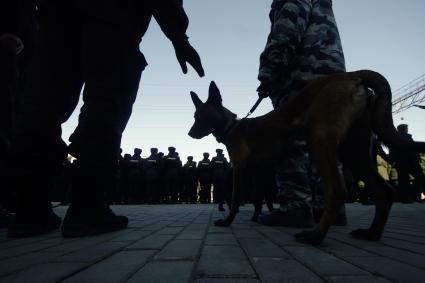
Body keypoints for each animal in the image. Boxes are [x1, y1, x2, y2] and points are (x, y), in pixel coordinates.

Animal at [188, 71, 424, 246]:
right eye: (194, 116)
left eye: (201, 116)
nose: (190, 134)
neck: (233, 127)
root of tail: (353, 76)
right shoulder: (258, 174)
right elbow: (258, 200)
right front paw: (256, 217)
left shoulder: (240, 169)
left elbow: (236, 198)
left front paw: (227, 221)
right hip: (354, 152)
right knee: (385, 191)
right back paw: (371, 233)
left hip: (320, 141)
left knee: (337, 191)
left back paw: (315, 236)